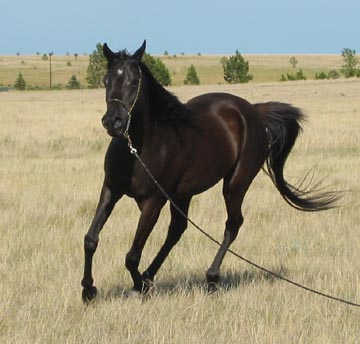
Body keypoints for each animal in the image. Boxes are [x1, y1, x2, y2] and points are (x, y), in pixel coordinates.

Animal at [81, 41, 338, 302]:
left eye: (134, 82)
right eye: (106, 80)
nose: (113, 122)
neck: (138, 149)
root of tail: (253, 112)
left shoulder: (153, 201)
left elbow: (132, 255)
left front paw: (138, 285)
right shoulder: (111, 190)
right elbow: (91, 239)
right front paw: (88, 289)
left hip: (235, 184)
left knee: (232, 225)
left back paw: (210, 278)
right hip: (183, 194)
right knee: (177, 230)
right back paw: (150, 276)